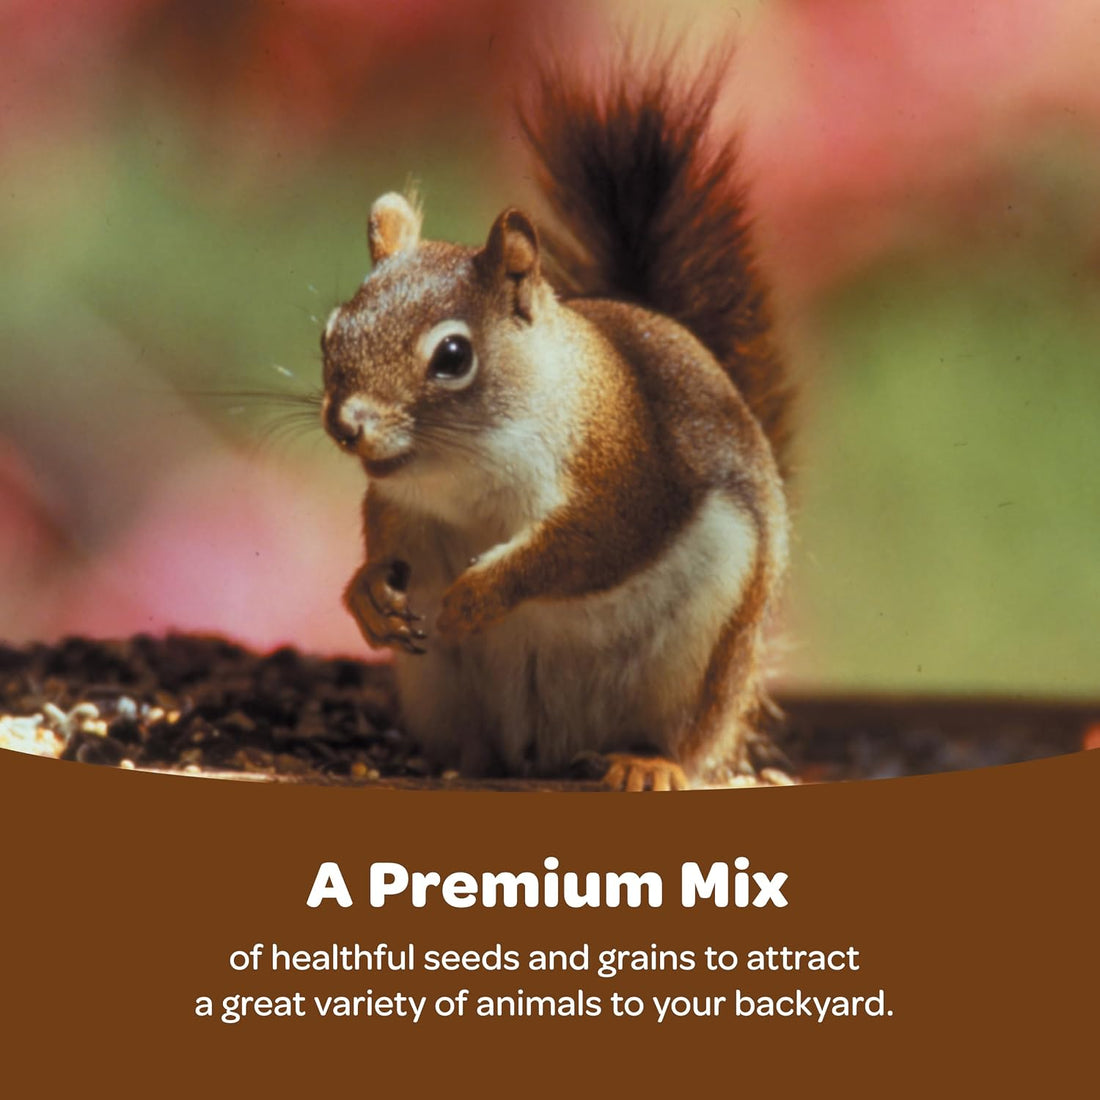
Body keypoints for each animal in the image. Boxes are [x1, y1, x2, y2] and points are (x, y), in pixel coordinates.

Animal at [320, 56, 793, 791]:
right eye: (331, 331)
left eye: (452, 356)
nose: (346, 425)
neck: (467, 466)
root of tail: (544, 749)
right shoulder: (403, 502)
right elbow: (386, 538)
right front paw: (368, 590)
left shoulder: (625, 472)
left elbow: (584, 547)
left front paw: (480, 594)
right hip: (440, 687)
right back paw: (453, 761)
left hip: (696, 667)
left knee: (680, 739)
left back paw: (644, 762)